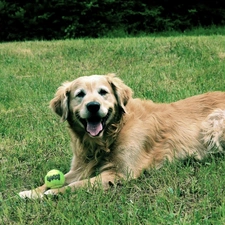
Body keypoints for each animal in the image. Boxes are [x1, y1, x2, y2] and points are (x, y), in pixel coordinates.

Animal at [18, 73, 225, 198]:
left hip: (214, 123)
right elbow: (53, 181)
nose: (93, 106)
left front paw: (54, 192)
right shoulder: (80, 167)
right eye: (80, 94)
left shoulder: (121, 173)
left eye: (103, 92)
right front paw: (31, 192)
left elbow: (81, 184)